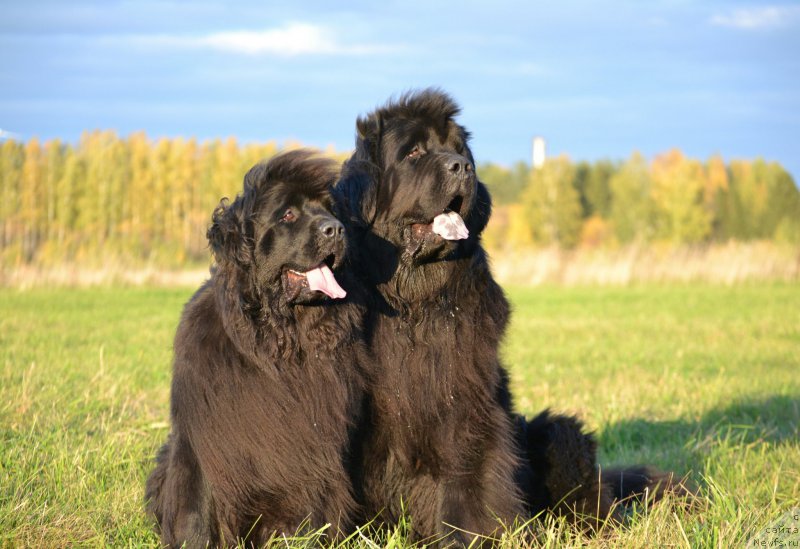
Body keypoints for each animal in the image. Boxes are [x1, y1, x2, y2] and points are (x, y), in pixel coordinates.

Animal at [145, 149, 364, 544]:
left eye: (330, 210)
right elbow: (196, 508)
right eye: (288, 214)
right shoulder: (202, 437)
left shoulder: (313, 445)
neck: (278, 343)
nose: (335, 229)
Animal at [334, 90, 520, 544]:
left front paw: (469, 535)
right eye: (414, 152)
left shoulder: (464, 403)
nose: (462, 167)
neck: (413, 304)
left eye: (459, 150)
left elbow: (467, 476)